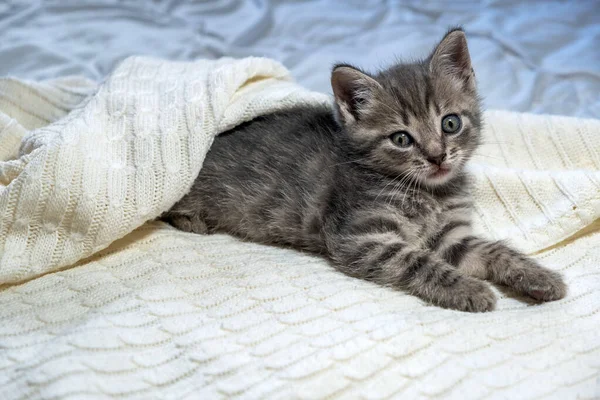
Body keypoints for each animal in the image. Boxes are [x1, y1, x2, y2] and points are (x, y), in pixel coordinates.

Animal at [164, 29, 568, 314]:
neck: (429, 194)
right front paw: (470, 290)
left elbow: (495, 251)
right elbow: (420, 261)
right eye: (401, 139)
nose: (438, 156)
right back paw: (192, 220)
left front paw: (541, 277)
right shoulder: (362, 238)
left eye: (450, 123)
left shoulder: (450, 237)